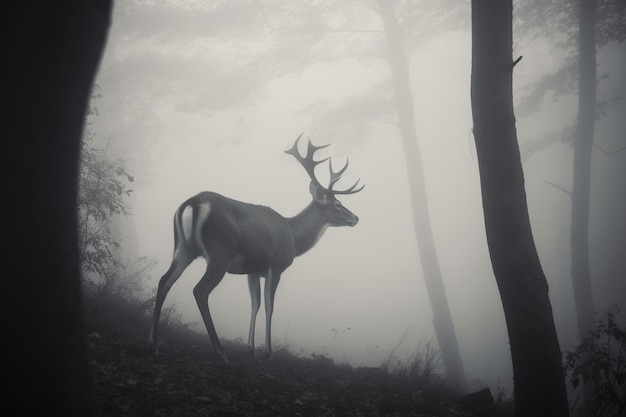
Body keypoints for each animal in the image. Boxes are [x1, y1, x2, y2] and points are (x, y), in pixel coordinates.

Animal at [147, 133, 364, 360]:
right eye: (338, 204)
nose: (356, 218)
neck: (293, 237)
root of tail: (192, 204)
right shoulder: (276, 265)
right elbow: (269, 305)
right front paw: (268, 351)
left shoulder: (252, 270)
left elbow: (255, 304)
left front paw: (250, 349)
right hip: (220, 252)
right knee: (200, 290)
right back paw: (220, 351)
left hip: (183, 248)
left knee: (165, 281)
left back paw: (153, 345)